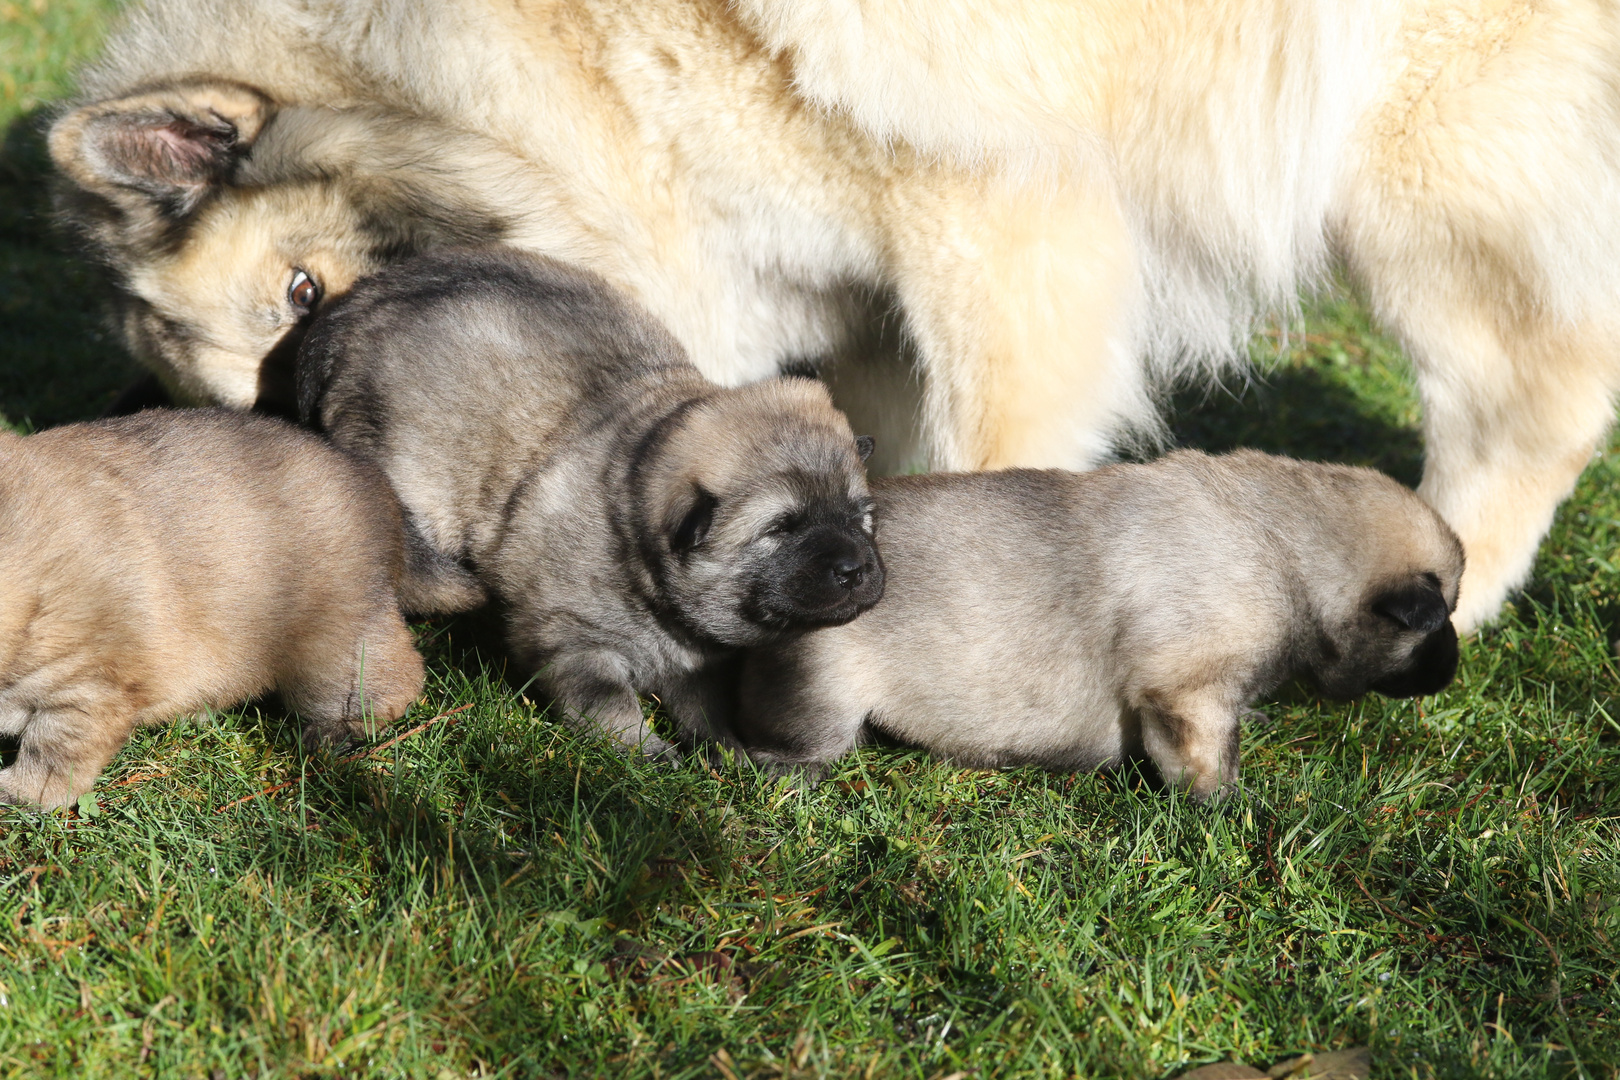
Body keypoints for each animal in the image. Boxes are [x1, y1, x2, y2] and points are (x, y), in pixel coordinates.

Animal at [0, 409, 424, 806]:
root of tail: (374, 481)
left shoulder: (92, 680)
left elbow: (54, 749)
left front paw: (24, 794)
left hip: (330, 640)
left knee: (387, 677)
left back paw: (340, 729)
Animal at [47, 0, 1607, 628]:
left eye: (306, 293)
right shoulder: (864, 288)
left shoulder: (994, 213)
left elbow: (992, 453)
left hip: (1420, 175)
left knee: (1535, 394)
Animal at [302, 247, 887, 761]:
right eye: (781, 528)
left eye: (861, 519)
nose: (857, 569)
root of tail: (354, 305)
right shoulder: (573, 642)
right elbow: (611, 705)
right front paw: (649, 755)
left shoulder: (696, 664)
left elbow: (707, 708)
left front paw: (728, 752)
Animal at [729, 450, 1464, 803]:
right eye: (1440, 622)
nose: (1456, 669)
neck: (1287, 552)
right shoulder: (1188, 695)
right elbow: (1207, 761)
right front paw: (1225, 810)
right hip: (825, 698)